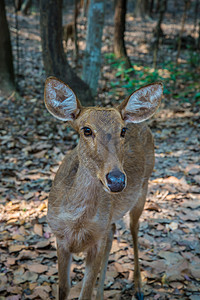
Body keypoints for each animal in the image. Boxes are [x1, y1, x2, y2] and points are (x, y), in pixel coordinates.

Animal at [43, 77, 162, 300]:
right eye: (86, 130)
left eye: (123, 130)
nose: (116, 180)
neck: (77, 222)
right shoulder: (59, 237)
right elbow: (63, 289)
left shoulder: (95, 240)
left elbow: (84, 293)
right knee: (113, 230)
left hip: (143, 189)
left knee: (134, 229)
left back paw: (138, 287)